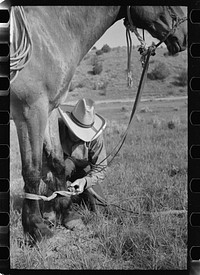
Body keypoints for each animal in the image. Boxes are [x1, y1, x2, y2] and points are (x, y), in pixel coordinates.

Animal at [10, 4, 187, 242]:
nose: (183, 36)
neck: (51, 31)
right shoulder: (30, 111)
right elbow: (32, 170)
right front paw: (36, 227)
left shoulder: (49, 109)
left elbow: (56, 163)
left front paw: (67, 213)